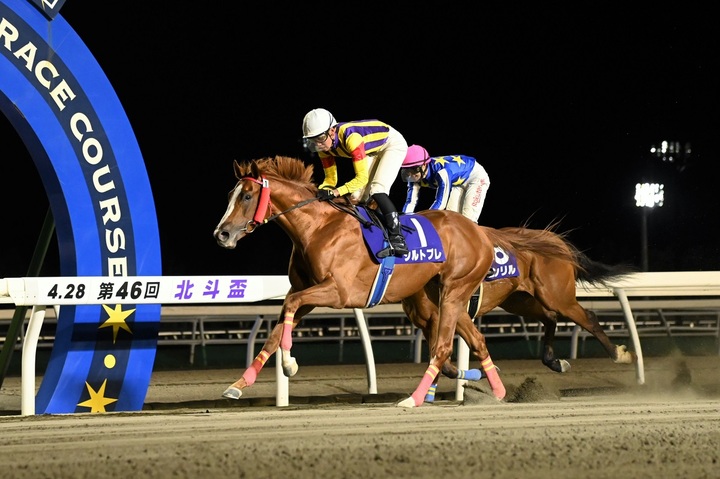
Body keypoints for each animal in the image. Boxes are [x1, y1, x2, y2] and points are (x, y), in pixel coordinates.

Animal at [212, 155, 509, 407]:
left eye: (247, 196)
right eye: (229, 196)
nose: (221, 234)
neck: (318, 227)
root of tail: (480, 232)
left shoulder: (338, 292)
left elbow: (292, 306)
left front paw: (289, 364)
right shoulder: (305, 289)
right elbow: (277, 328)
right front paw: (240, 383)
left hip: (454, 289)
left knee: (443, 347)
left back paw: (414, 398)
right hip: (439, 296)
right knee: (476, 340)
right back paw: (494, 389)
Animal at [402, 224, 637, 395]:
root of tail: (556, 240)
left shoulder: (449, 313)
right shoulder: (427, 323)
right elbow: (443, 363)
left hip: (558, 297)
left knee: (588, 317)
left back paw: (620, 354)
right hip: (519, 300)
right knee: (550, 318)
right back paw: (555, 362)